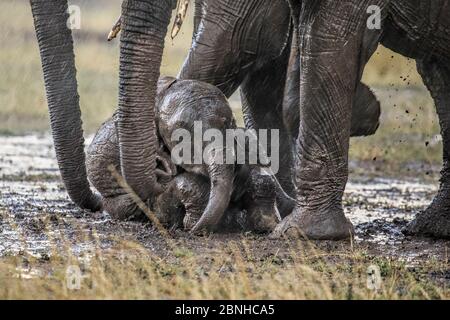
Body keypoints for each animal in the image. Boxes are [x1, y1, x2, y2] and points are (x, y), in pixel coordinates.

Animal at [86, 76, 280, 234]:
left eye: (229, 123)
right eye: (181, 136)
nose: (194, 232)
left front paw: (267, 223)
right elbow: (185, 184)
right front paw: (194, 224)